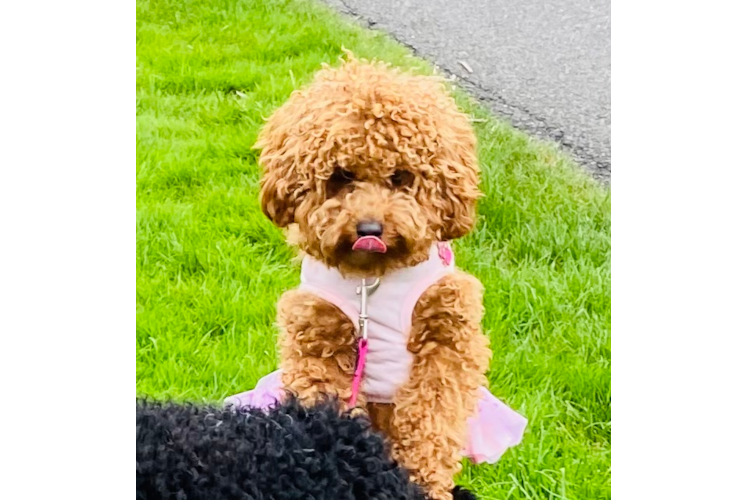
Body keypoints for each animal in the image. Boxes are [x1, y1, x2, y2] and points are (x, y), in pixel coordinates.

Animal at [228, 55, 524, 500]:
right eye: (342, 176)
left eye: (401, 177)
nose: (370, 229)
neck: (373, 282)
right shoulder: (318, 340)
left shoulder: (448, 340)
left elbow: (431, 423)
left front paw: (426, 482)